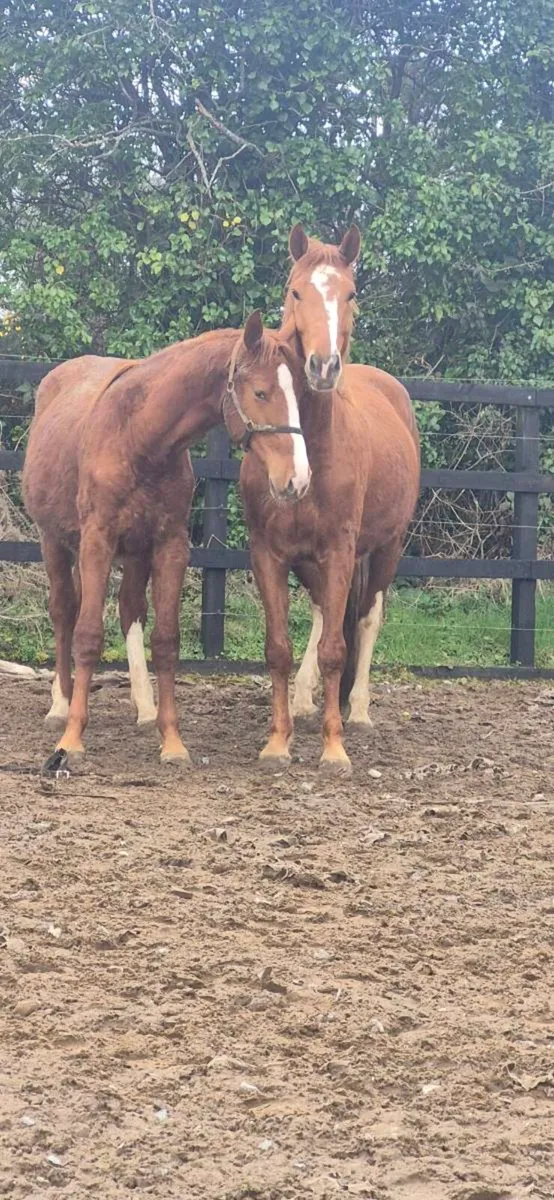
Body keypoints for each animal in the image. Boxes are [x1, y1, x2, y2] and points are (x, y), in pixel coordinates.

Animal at [23, 312, 310, 766]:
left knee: (129, 610)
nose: (296, 480)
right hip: (54, 540)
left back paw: (144, 707)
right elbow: (87, 635)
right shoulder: (96, 542)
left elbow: (166, 641)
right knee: (64, 613)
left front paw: (171, 740)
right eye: (261, 392)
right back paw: (60, 705)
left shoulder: (169, 546)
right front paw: (72, 739)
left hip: (136, 552)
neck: (138, 436)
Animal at [240, 225, 420, 771]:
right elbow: (279, 646)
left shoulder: (341, 549)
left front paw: (334, 748)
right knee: (324, 614)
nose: (322, 366)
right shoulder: (269, 553)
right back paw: (304, 699)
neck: (312, 447)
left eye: (352, 293)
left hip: (386, 548)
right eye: (296, 291)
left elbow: (339, 648)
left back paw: (356, 710)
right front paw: (278, 742)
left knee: (365, 617)